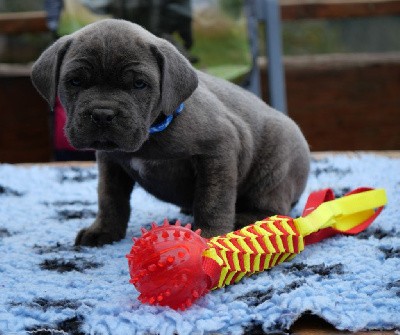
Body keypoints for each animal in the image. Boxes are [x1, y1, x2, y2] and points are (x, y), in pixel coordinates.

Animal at [32, 19, 312, 248]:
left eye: (139, 84)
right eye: (75, 81)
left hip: (275, 168)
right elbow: (110, 199)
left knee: (273, 208)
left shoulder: (218, 151)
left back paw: (242, 220)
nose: (102, 113)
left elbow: (213, 201)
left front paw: (209, 236)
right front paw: (104, 231)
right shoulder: (111, 162)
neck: (152, 132)